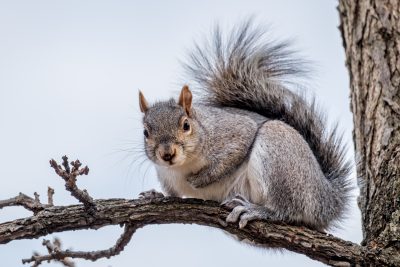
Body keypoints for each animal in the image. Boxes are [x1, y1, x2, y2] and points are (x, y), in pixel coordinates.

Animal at [138, 21, 350, 231]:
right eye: (145, 132)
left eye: (186, 125)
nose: (167, 154)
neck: (182, 166)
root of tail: (327, 199)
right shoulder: (166, 176)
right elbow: (171, 195)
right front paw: (156, 195)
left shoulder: (231, 131)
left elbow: (235, 151)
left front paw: (200, 179)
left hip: (280, 155)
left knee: (286, 209)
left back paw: (257, 210)